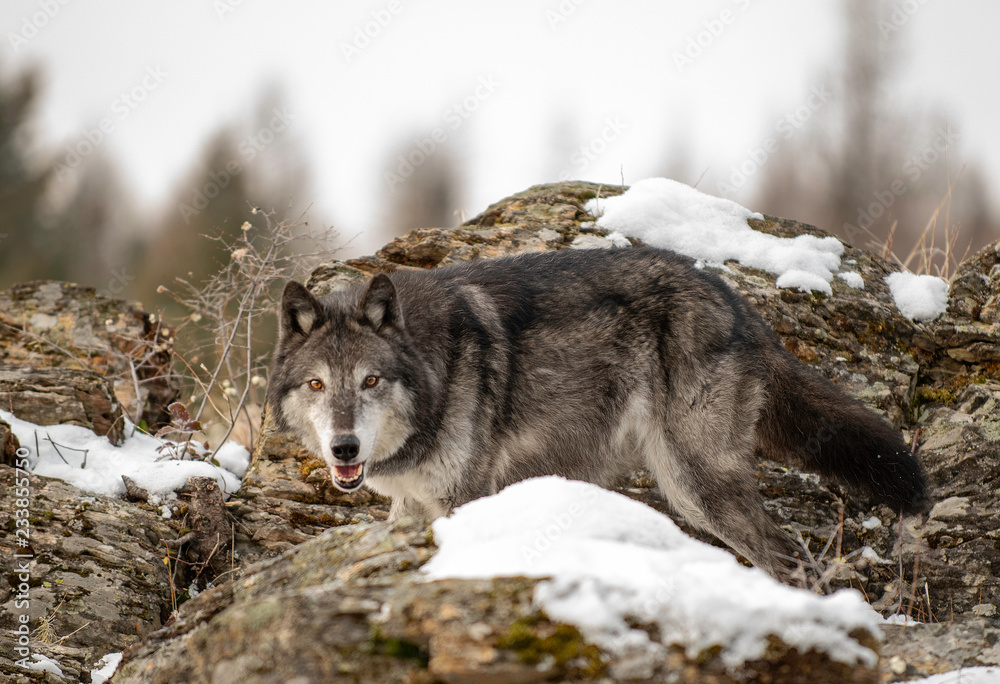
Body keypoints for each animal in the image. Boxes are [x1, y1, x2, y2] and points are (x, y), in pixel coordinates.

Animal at [267, 247, 928, 579]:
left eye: (371, 381)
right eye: (318, 384)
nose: (344, 449)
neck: (436, 367)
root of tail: (738, 303)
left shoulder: (467, 499)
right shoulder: (410, 508)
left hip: (695, 487)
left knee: (789, 558)